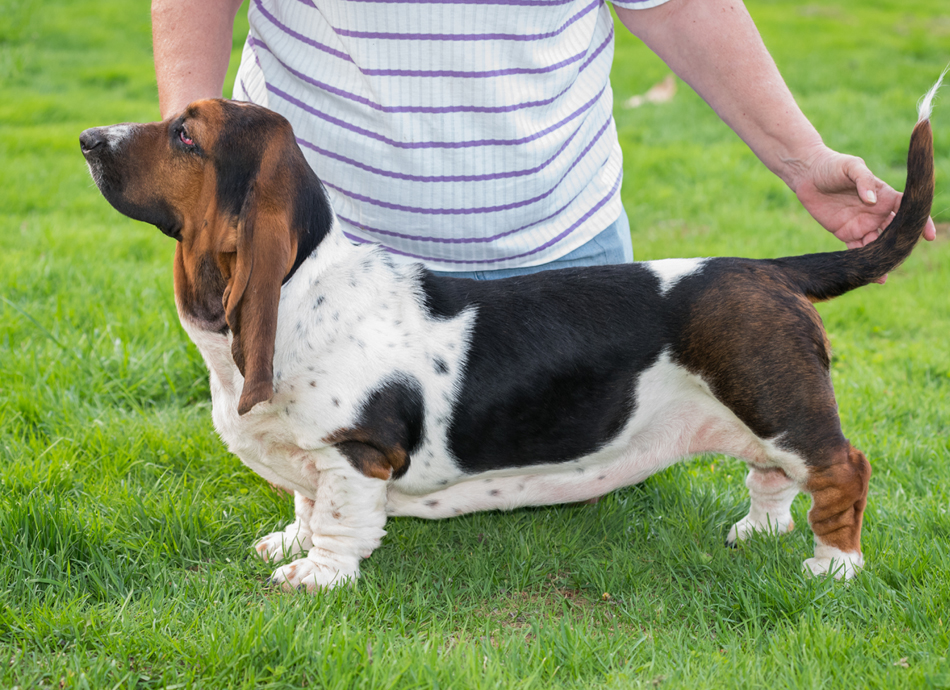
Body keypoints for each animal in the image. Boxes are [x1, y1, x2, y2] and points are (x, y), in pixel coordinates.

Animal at [82, 78, 936, 588]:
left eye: (186, 136)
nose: (89, 139)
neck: (298, 289)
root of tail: (770, 269)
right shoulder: (309, 454)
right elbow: (303, 501)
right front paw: (288, 544)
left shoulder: (357, 452)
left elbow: (339, 520)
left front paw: (313, 577)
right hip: (759, 414)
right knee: (772, 477)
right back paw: (756, 531)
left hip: (781, 406)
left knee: (843, 469)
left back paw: (834, 566)